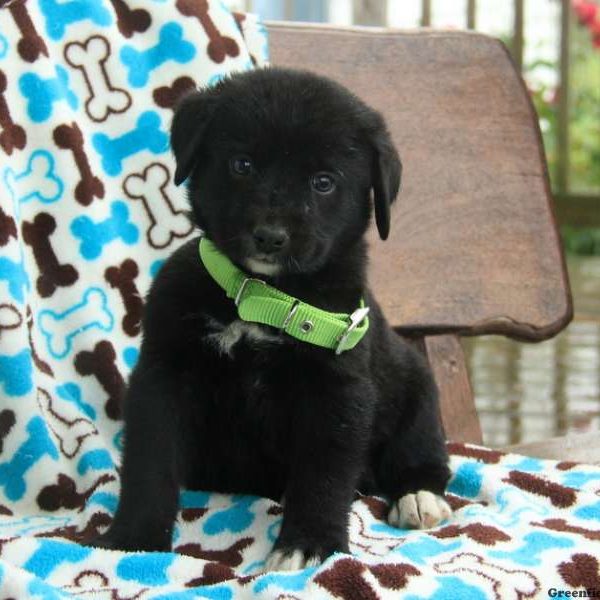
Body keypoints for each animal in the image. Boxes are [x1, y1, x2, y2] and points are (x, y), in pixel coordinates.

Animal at [92, 68, 450, 568]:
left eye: (324, 182)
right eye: (242, 165)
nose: (269, 237)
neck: (262, 296)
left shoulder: (336, 391)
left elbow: (323, 474)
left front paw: (308, 544)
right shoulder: (163, 374)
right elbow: (151, 460)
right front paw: (134, 537)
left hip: (417, 390)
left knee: (423, 456)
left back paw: (418, 497)